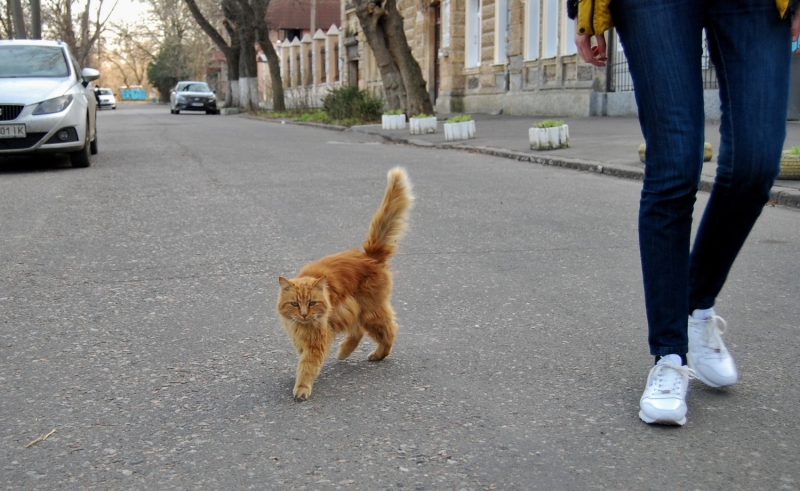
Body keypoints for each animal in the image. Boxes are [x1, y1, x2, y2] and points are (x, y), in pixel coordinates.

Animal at [276, 168, 412, 400]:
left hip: (369, 312)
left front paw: (302, 388)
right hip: (353, 310)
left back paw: (377, 354)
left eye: (312, 303)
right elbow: (302, 356)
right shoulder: (301, 335)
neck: (302, 326)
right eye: (294, 304)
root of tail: (368, 256)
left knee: (389, 331)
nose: (304, 314)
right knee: (358, 331)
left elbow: (307, 365)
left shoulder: (316, 340)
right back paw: (344, 352)